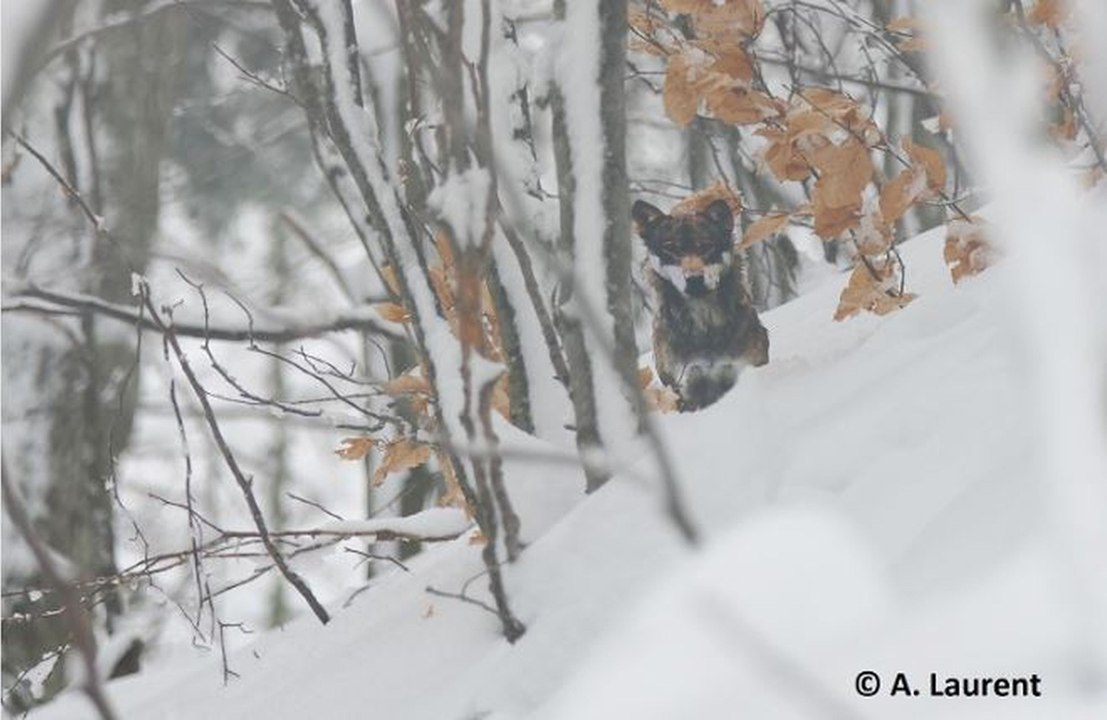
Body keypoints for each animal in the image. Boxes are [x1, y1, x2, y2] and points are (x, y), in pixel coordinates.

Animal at [633, 198, 769, 411]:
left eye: (706, 246)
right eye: (670, 248)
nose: (694, 279)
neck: (706, 324)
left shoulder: (743, 366)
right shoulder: (688, 387)